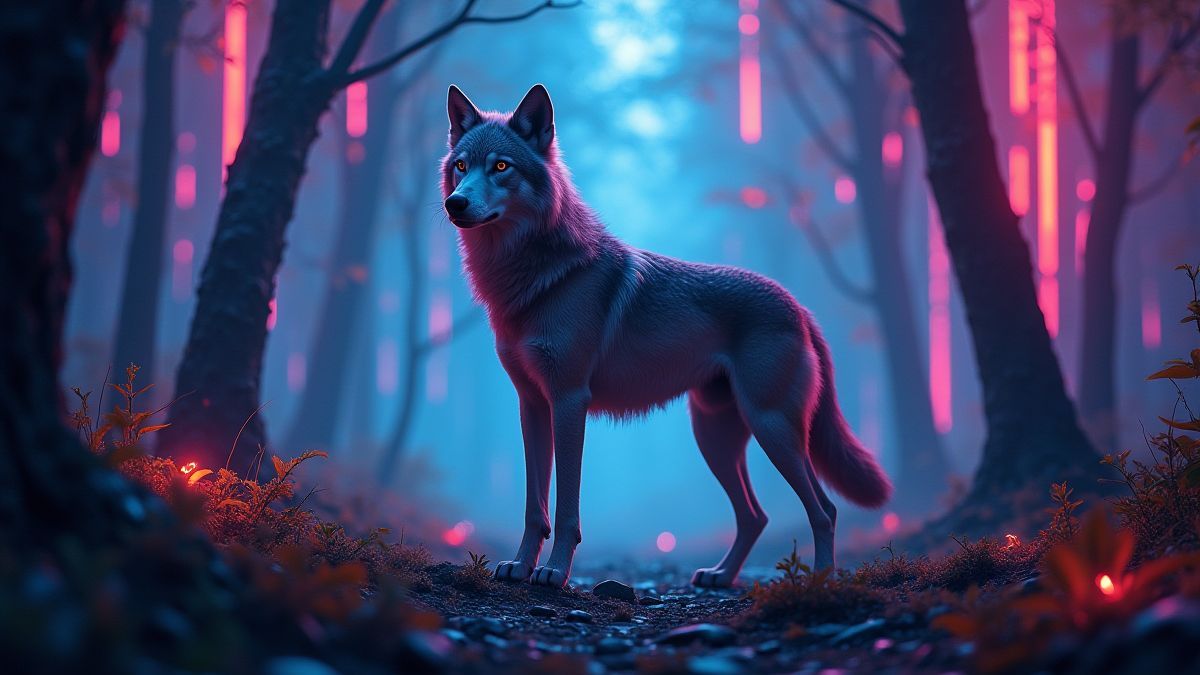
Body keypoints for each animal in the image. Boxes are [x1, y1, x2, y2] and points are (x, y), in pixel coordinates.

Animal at [441, 84, 892, 589]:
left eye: (501, 167)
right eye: (462, 166)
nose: (455, 203)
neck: (537, 278)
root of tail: (799, 307)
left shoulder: (570, 401)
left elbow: (566, 507)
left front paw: (554, 572)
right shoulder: (532, 405)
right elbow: (533, 507)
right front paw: (519, 567)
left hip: (773, 430)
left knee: (825, 509)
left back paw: (818, 581)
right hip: (715, 438)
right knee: (755, 515)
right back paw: (720, 575)